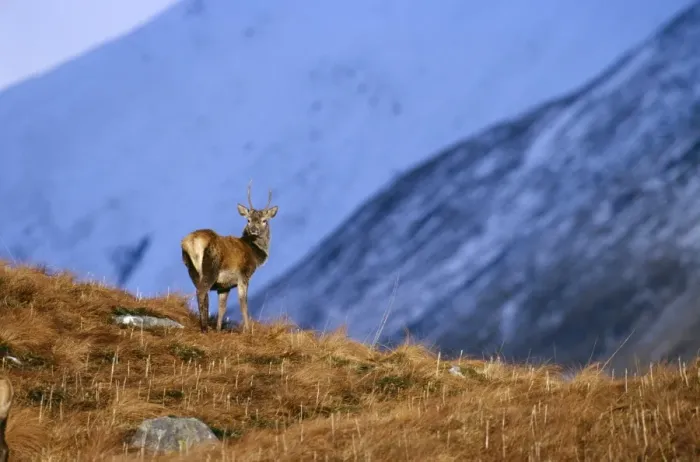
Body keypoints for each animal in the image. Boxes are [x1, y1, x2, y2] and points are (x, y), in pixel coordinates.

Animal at [181, 182, 278, 333]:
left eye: (264, 220)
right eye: (248, 220)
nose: (254, 230)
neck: (255, 255)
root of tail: (191, 242)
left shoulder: (224, 285)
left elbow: (222, 307)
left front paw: (218, 329)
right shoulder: (243, 275)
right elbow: (243, 303)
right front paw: (248, 330)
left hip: (192, 269)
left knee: (202, 294)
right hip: (211, 267)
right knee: (201, 292)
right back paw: (204, 328)